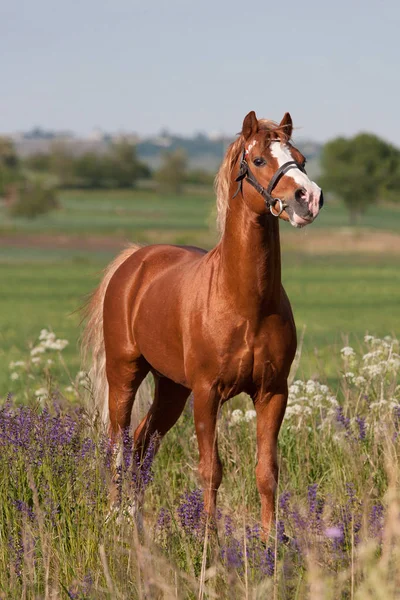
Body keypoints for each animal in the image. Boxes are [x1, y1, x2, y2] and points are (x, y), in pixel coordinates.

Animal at [81, 110, 322, 536]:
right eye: (259, 159)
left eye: (302, 159)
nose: (307, 198)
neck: (245, 304)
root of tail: (134, 260)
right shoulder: (207, 393)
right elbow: (211, 470)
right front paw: (208, 540)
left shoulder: (272, 393)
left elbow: (267, 471)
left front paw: (270, 541)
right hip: (124, 373)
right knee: (118, 445)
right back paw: (114, 518)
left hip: (172, 388)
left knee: (143, 444)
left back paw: (136, 521)